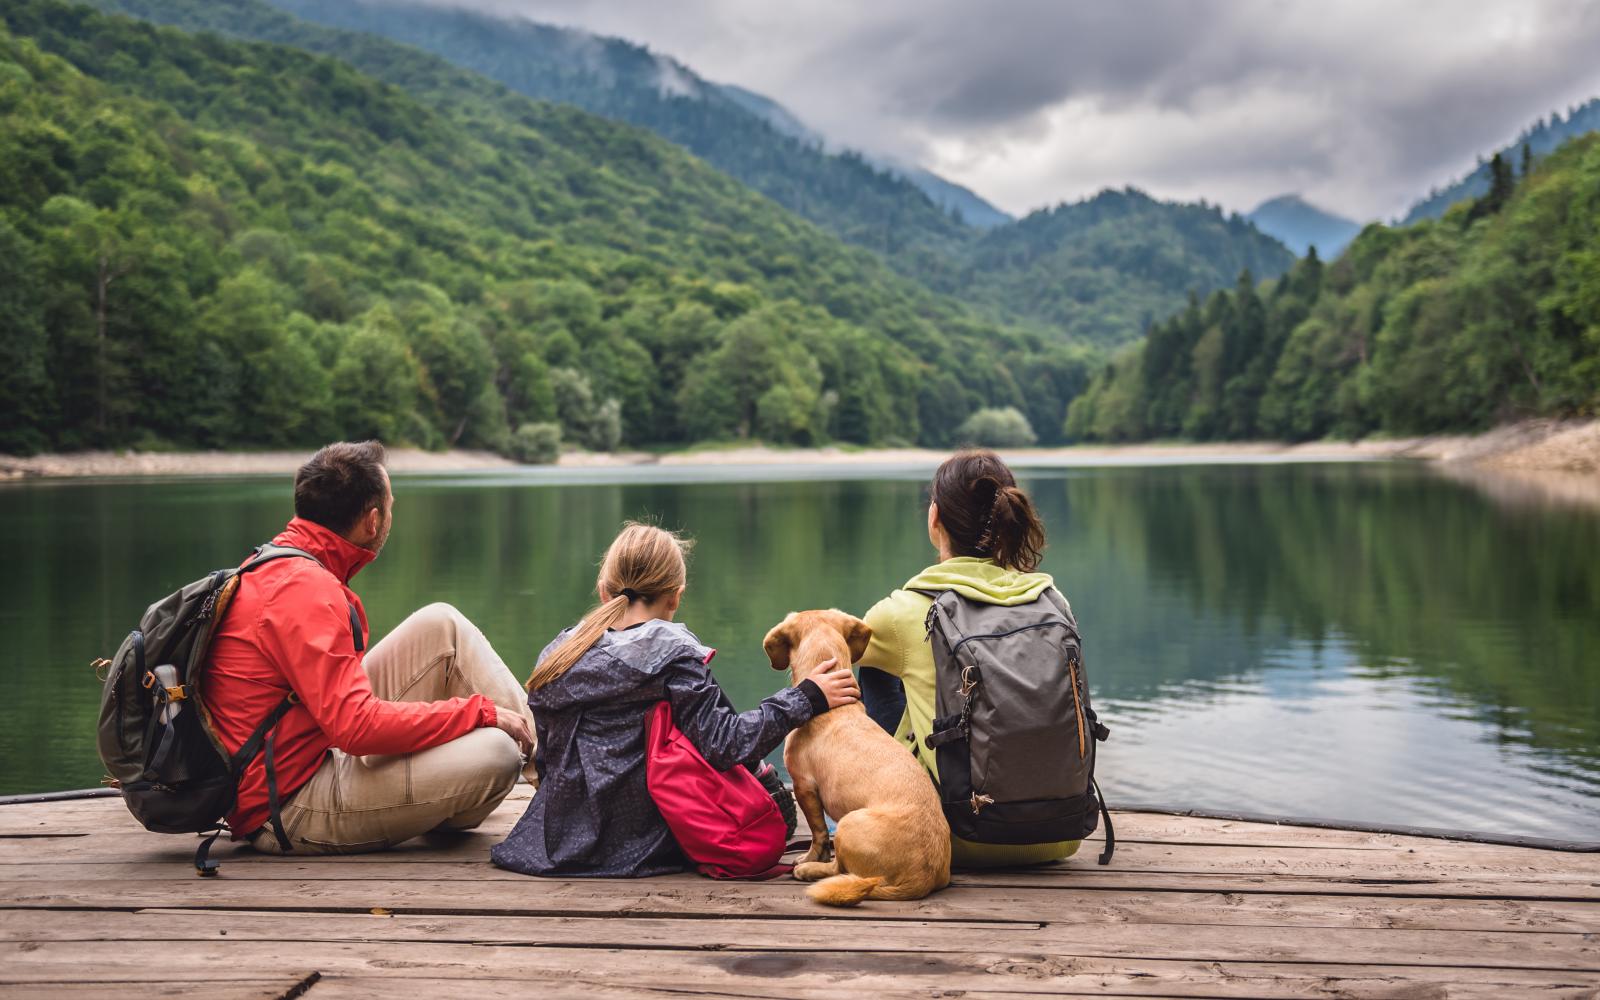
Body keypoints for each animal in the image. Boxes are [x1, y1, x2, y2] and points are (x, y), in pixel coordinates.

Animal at [761, 608, 947, 902]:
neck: (833, 707)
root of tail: (921, 878)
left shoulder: (804, 786)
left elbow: (818, 833)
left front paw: (809, 858)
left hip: (848, 823)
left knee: (839, 868)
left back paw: (809, 870)